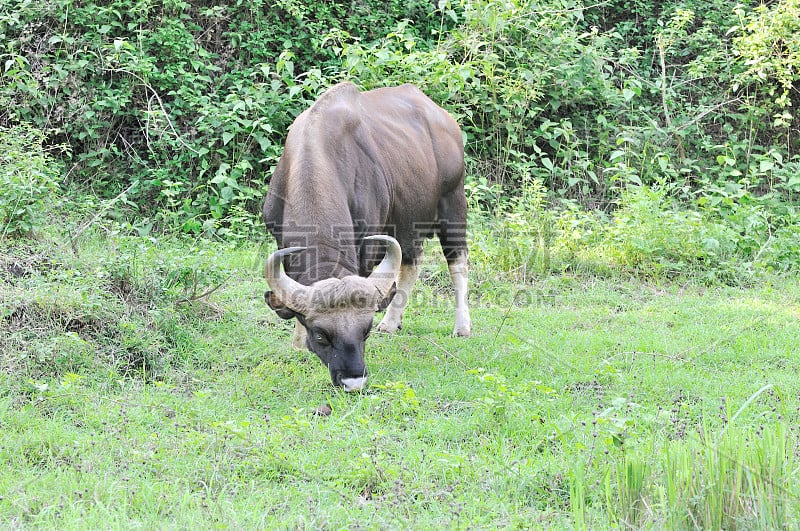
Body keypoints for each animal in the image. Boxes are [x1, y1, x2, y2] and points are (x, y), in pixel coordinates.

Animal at [262, 82, 472, 390]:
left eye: (365, 330)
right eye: (320, 334)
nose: (353, 382)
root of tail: (445, 120)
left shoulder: (367, 244)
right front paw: (298, 344)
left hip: (454, 205)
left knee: (458, 263)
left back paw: (462, 326)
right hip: (408, 221)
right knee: (411, 262)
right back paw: (392, 322)